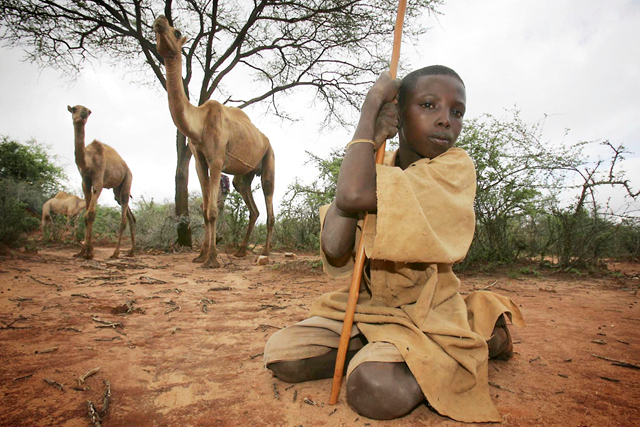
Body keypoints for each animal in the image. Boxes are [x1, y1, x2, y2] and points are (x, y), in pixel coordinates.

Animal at [67, 105, 136, 260]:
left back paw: (116, 253)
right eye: (74, 109)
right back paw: (131, 251)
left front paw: (89, 253)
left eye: (88, 111)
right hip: (117, 190)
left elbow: (90, 214)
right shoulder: (85, 181)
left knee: (123, 218)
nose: (83, 114)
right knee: (130, 215)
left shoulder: (98, 179)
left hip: (127, 179)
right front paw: (82, 252)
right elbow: (86, 214)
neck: (88, 161)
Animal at [154, 17, 276, 270]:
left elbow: (211, 210)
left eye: (176, 31)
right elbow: (204, 209)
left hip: (269, 157)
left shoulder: (217, 159)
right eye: (155, 31)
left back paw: (266, 252)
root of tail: (265, 139)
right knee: (252, 206)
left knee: (269, 198)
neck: (199, 123)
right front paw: (201, 255)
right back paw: (240, 251)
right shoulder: (199, 161)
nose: (160, 20)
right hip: (244, 175)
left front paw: (212, 258)